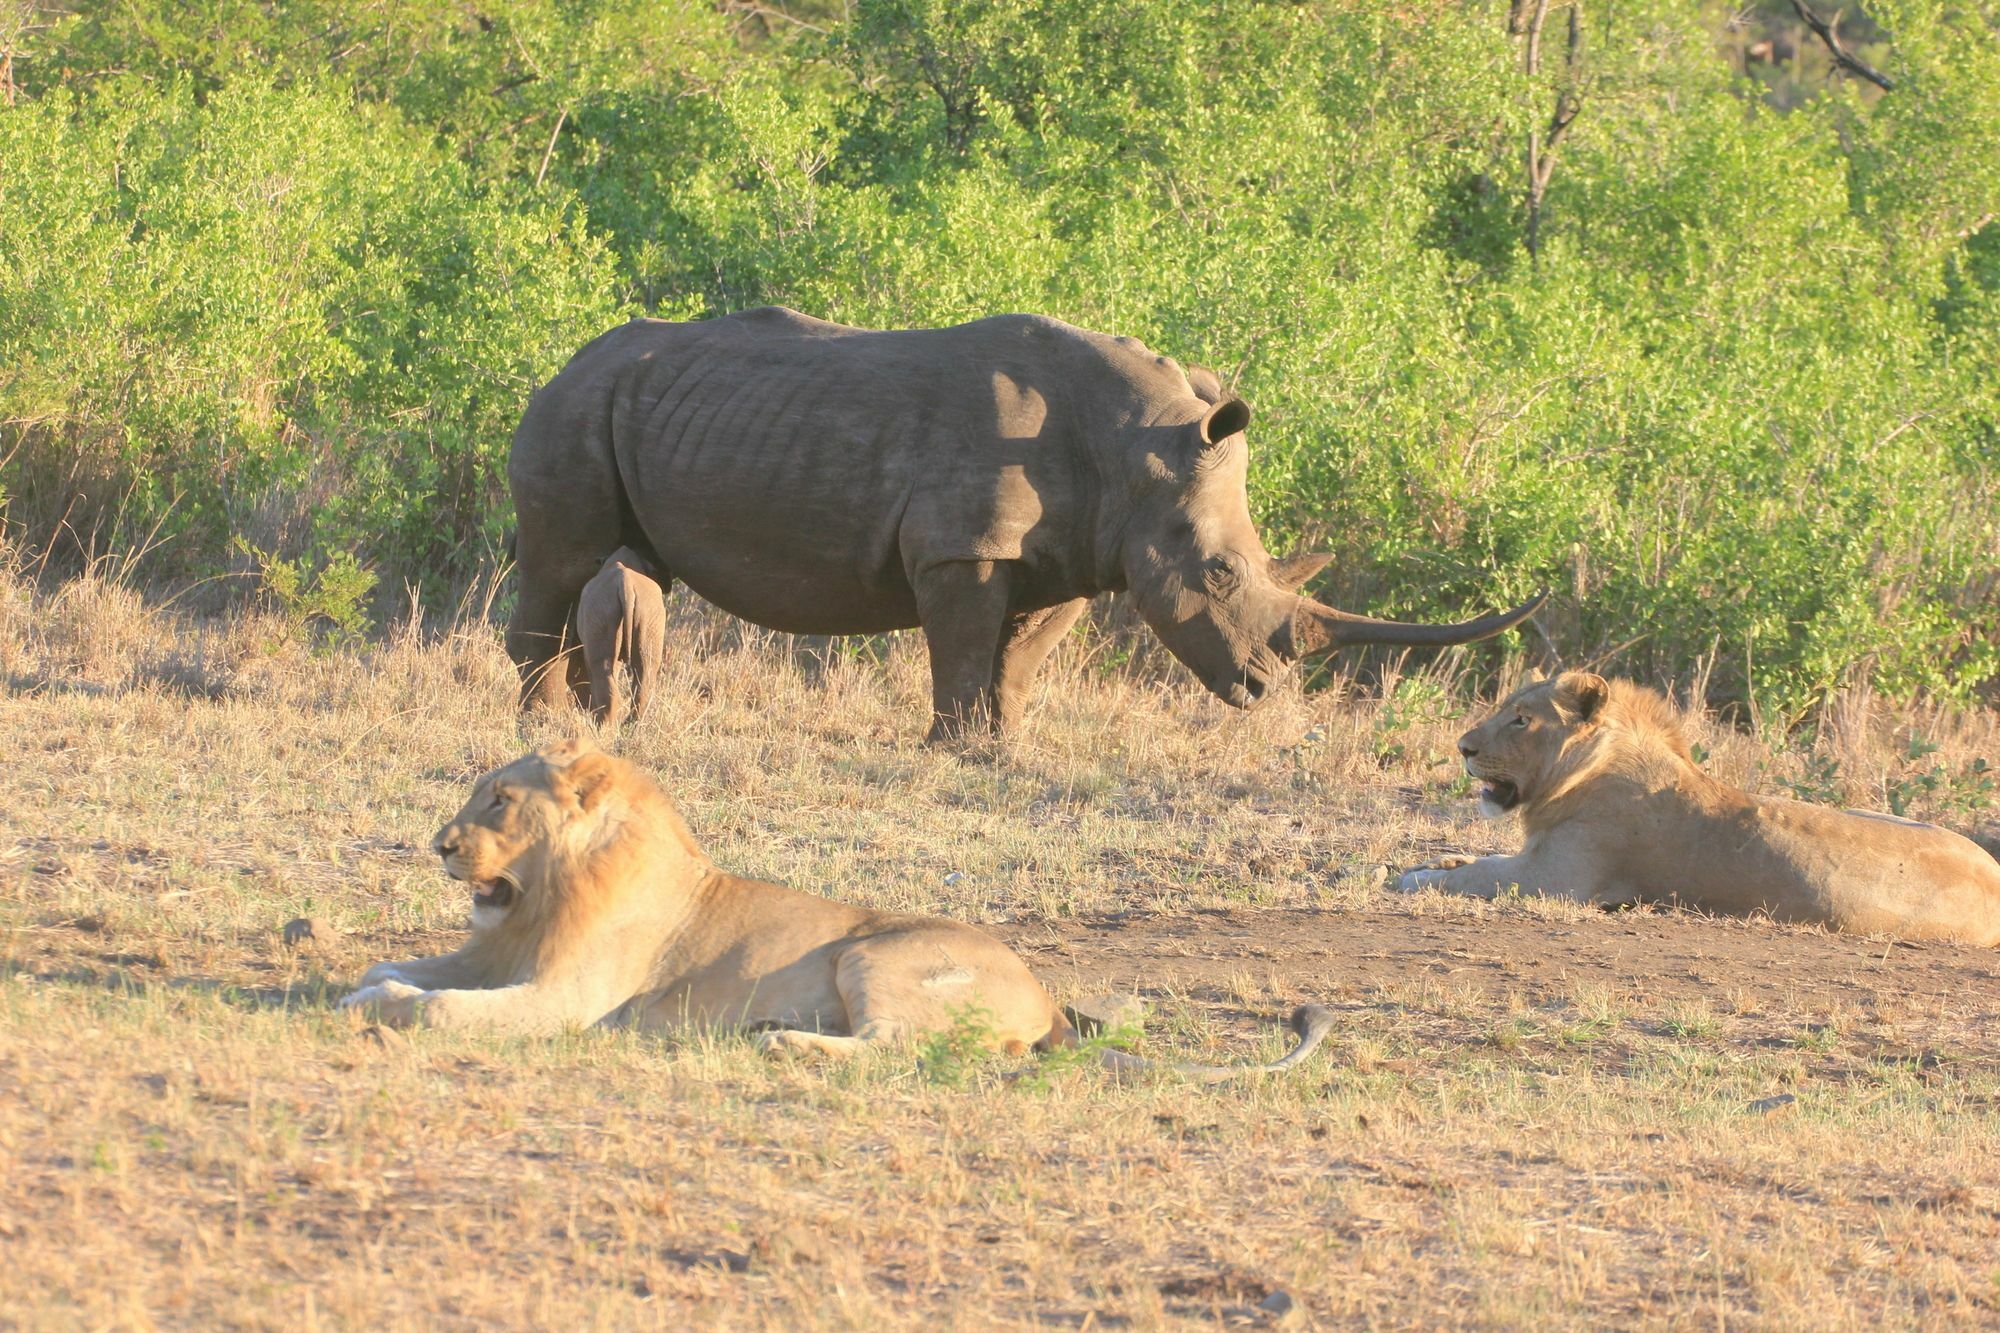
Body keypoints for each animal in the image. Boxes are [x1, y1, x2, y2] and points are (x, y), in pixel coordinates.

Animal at [350, 740, 1336, 1072]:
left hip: (873, 953)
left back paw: (784, 1044)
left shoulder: (564, 997)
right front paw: (361, 986)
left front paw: (384, 1007)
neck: (544, 895)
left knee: (897, 1046)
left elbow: (441, 1007)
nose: (438, 843)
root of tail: (1052, 1002)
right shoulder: (494, 953)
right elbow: (401, 963)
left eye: (498, 801)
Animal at [1400, 664, 2000, 944]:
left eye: (1522, 720)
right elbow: (1477, 861)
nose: (1464, 748)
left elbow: (1472, 878)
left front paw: (1415, 876)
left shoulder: (1556, 879)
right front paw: (1443, 858)